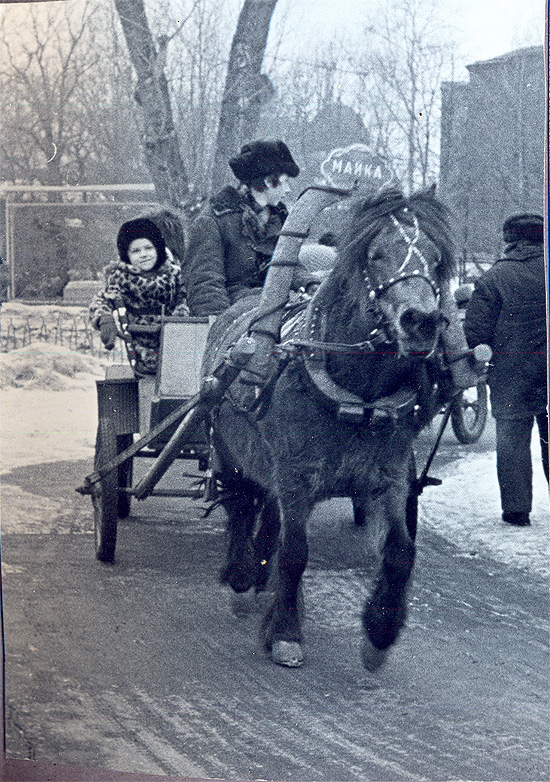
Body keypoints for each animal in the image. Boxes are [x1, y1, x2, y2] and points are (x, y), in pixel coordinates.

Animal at [203, 187, 458, 672]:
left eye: (437, 261)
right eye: (376, 255)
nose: (422, 321)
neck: (357, 396)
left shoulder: (388, 478)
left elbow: (400, 552)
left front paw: (379, 633)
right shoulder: (296, 475)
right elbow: (295, 552)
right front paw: (285, 633)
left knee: (267, 514)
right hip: (229, 450)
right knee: (241, 505)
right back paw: (242, 575)